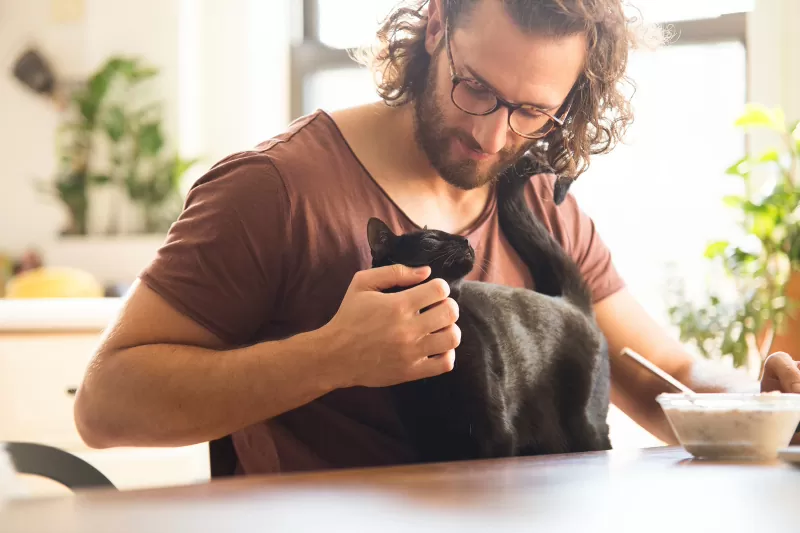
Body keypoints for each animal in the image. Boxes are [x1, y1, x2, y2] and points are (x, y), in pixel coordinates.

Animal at [368, 154, 612, 462]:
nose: (465, 240)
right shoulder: (426, 436)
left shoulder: (495, 431)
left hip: (584, 425)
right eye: (431, 240)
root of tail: (570, 301)